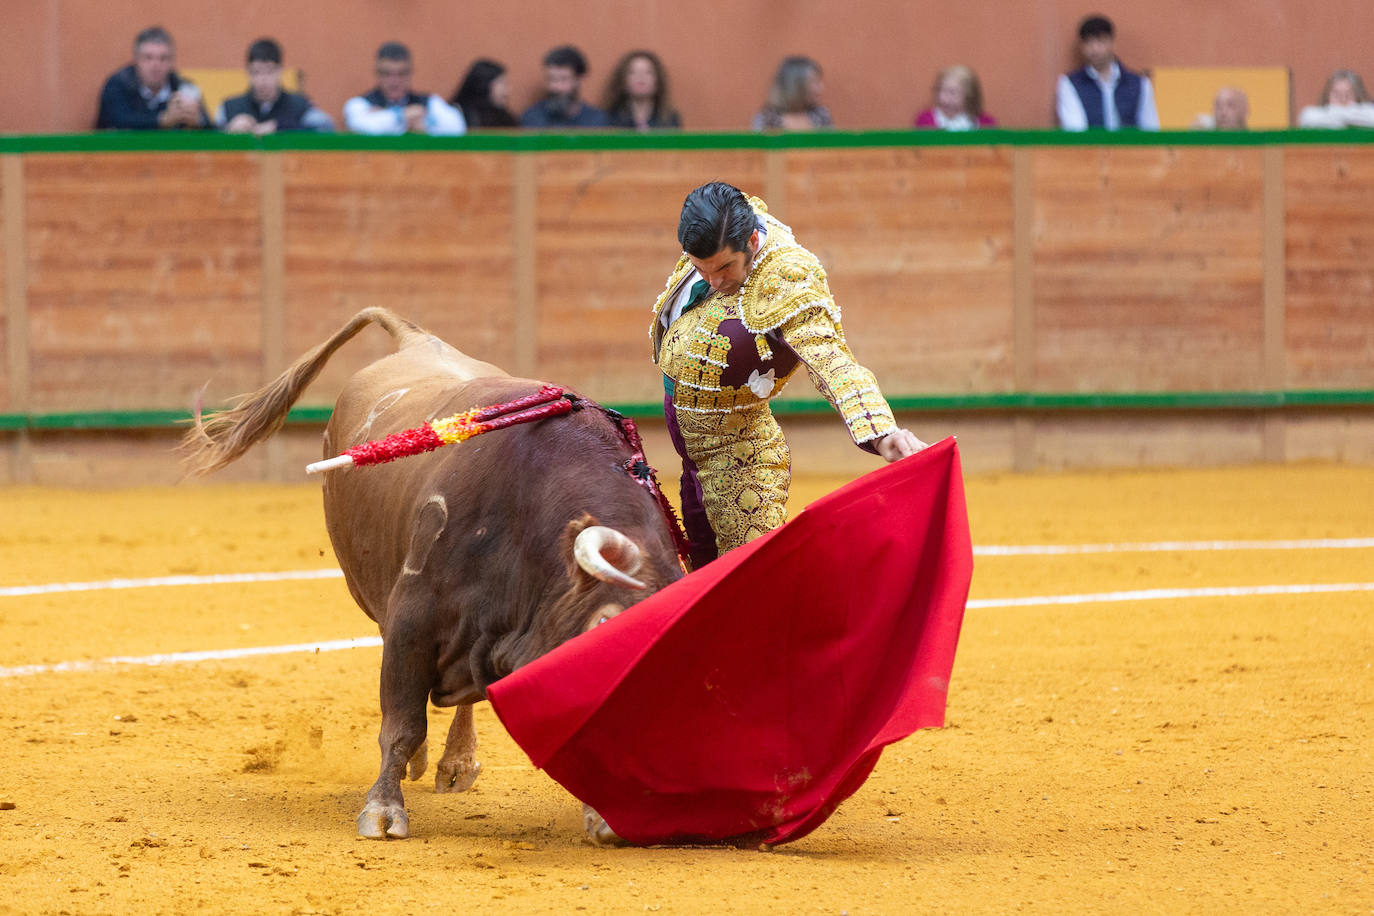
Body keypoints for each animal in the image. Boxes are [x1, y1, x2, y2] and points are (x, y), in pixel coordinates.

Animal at [179, 310, 684, 845]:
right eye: (602, 627)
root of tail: (414, 340)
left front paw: (604, 814)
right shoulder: (412, 618)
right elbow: (402, 720)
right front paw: (382, 810)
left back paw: (456, 763)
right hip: (374, 591)